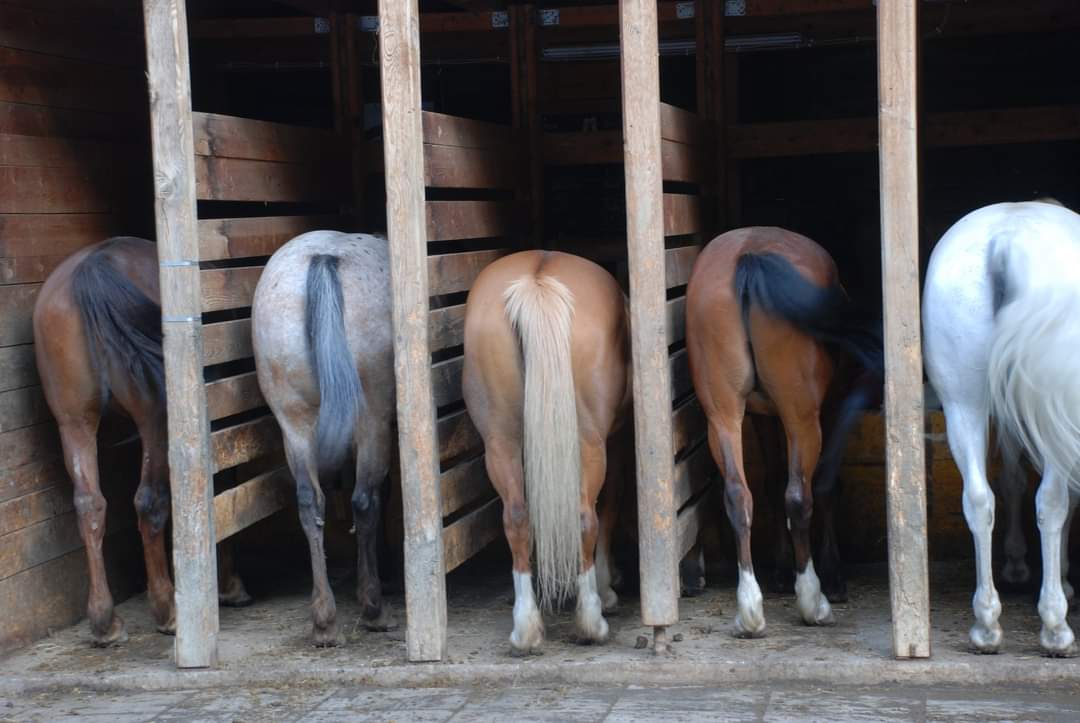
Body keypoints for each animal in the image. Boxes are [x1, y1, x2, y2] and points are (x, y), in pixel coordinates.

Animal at [32, 236, 252, 648]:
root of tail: (93, 266)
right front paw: (229, 584)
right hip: (154, 418)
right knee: (149, 501)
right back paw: (167, 610)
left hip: (74, 421)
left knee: (89, 504)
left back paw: (104, 622)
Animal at [251, 230, 397, 644]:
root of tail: (324, 257)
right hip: (373, 420)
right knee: (364, 501)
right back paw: (373, 608)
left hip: (294, 426)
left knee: (309, 501)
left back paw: (324, 621)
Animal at [460, 250, 630, 652]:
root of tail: (537, 278)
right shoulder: (615, 442)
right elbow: (611, 506)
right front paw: (607, 586)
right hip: (589, 441)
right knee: (585, 516)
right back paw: (591, 621)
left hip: (501, 440)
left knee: (517, 516)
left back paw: (525, 628)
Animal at [686, 226, 881, 635]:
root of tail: (749, 256)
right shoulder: (829, 406)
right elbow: (823, 485)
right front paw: (832, 578)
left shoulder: (760, 414)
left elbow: (772, 479)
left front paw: (778, 570)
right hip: (800, 418)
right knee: (799, 495)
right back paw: (812, 600)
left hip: (723, 416)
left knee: (738, 495)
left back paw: (749, 609)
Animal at [920, 197, 1080, 652]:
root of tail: (1007, 242)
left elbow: (1010, 478)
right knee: (1051, 501)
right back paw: (1055, 625)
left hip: (963, 404)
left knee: (979, 499)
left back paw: (986, 623)